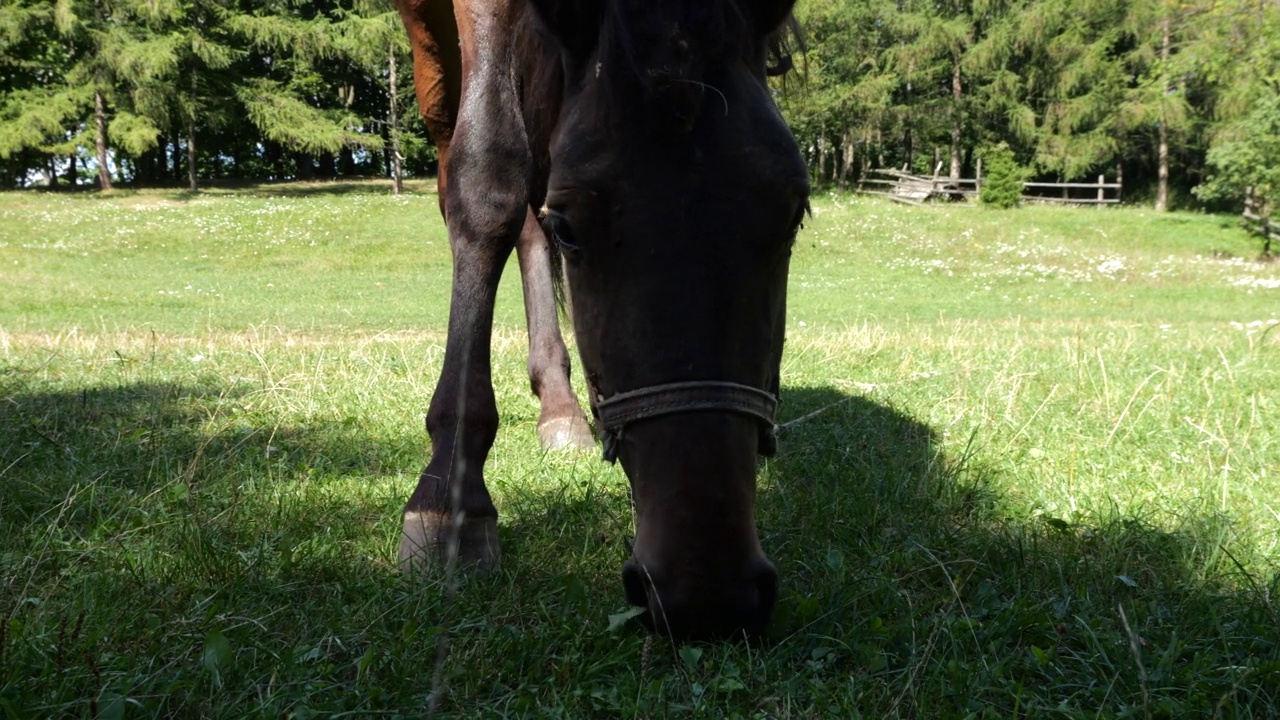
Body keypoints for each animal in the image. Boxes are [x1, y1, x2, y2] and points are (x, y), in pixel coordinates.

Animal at [391, 0, 808, 638]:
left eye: (794, 216)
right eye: (571, 228)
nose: (706, 592)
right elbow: (487, 181)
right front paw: (447, 496)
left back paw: (559, 408)